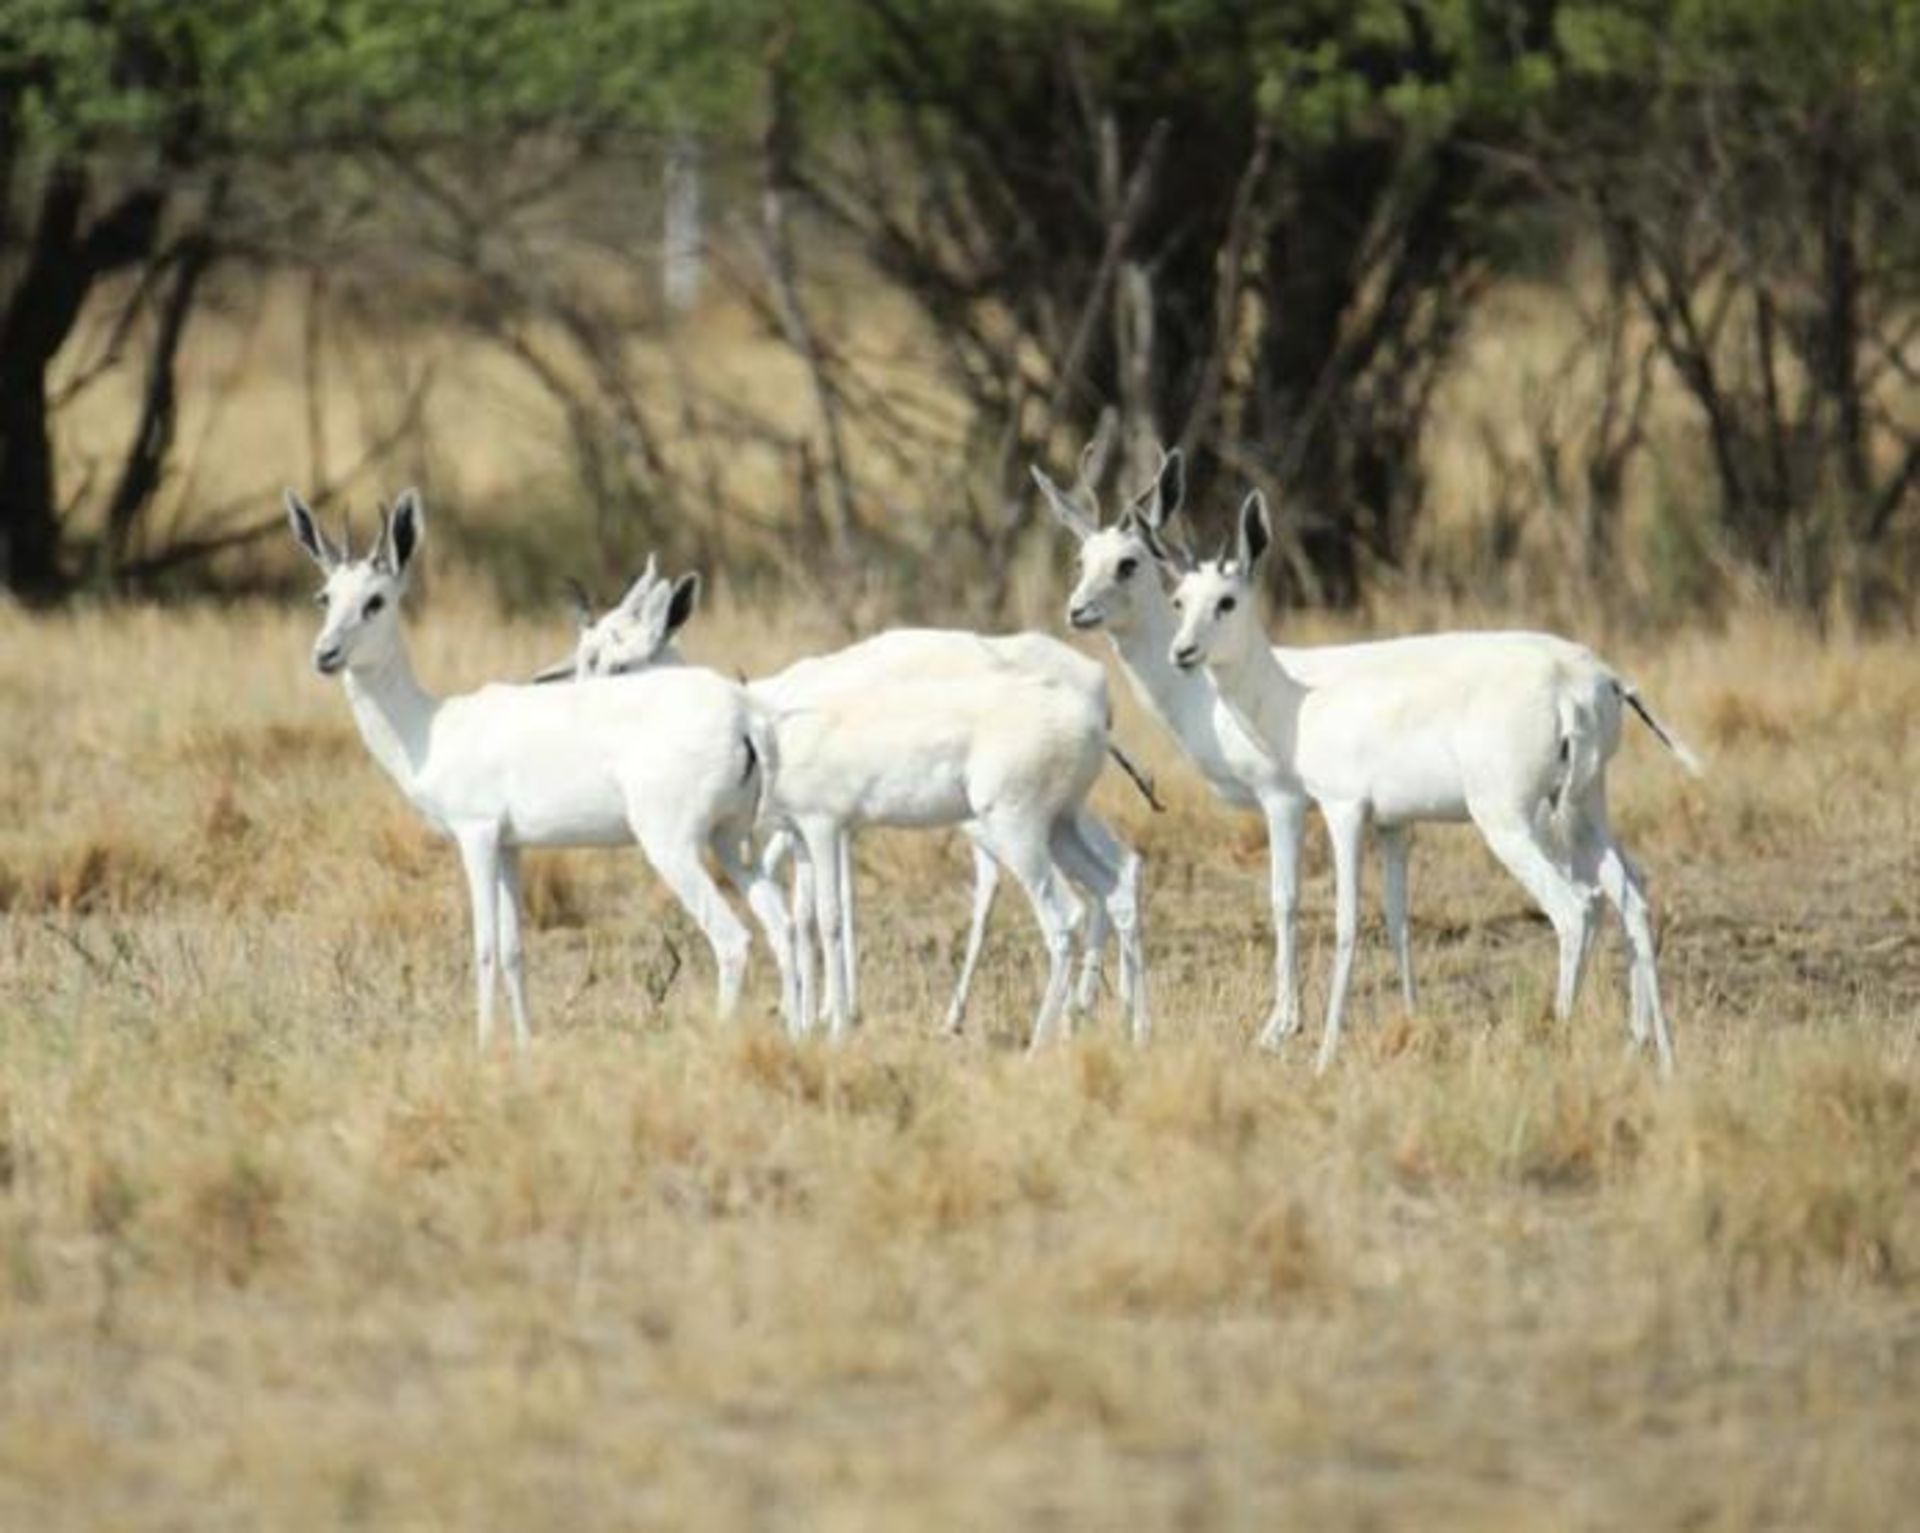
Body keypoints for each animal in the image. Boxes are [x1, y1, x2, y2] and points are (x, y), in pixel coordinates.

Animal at [282, 499, 794, 1052]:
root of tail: (745, 714)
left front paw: (484, 1046)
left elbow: (484, 945)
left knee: (733, 939)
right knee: (784, 925)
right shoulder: (512, 847)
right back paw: (800, 1029)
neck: (431, 730)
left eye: (375, 600)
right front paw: (525, 1044)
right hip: (731, 842)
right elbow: (514, 950)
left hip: (672, 845)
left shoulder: (477, 836)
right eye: (325, 596)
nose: (325, 655)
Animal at [541, 568, 1144, 1052]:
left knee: (1053, 902)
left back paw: (1034, 1030)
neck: (763, 714)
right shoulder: (816, 831)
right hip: (1060, 820)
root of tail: (1092, 691)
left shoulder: (817, 826)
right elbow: (821, 912)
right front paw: (822, 1015)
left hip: (1005, 825)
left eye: (621, 664)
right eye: (583, 658)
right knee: (1120, 874)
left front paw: (820, 1019)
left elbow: (818, 914)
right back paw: (1119, 1024)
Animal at [1159, 491, 1704, 1083]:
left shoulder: (1342, 811)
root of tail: (1594, 680)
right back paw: (1661, 1057)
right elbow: (1397, 918)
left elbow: (1346, 922)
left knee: (1575, 908)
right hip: (1585, 807)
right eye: (1179, 599)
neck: (1300, 704)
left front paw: (1322, 1052)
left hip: (1511, 820)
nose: (1182, 652)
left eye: (1227, 601)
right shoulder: (1394, 824)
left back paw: (1558, 1040)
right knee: (1632, 896)